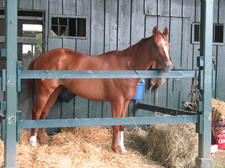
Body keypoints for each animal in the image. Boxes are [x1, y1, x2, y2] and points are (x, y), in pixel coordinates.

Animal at [28, 26, 172, 154]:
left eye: (168, 44)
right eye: (156, 45)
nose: (168, 65)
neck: (126, 66)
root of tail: (41, 56)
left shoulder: (125, 102)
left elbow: (122, 124)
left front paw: (122, 149)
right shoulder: (116, 101)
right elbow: (115, 125)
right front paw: (115, 149)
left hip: (54, 92)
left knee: (44, 112)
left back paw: (42, 141)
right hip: (44, 92)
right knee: (36, 112)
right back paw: (33, 142)